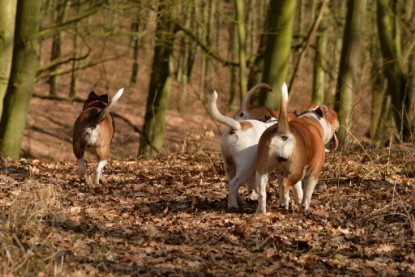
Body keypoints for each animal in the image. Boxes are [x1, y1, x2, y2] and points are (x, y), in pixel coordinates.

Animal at [255, 83, 340, 212]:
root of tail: (284, 131)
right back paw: (285, 202)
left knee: (262, 192)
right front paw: (304, 207)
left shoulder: (282, 172)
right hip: (296, 171)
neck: (313, 120)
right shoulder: (313, 172)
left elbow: (298, 190)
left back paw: (261, 211)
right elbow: (307, 193)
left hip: (262, 169)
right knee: (286, 185)